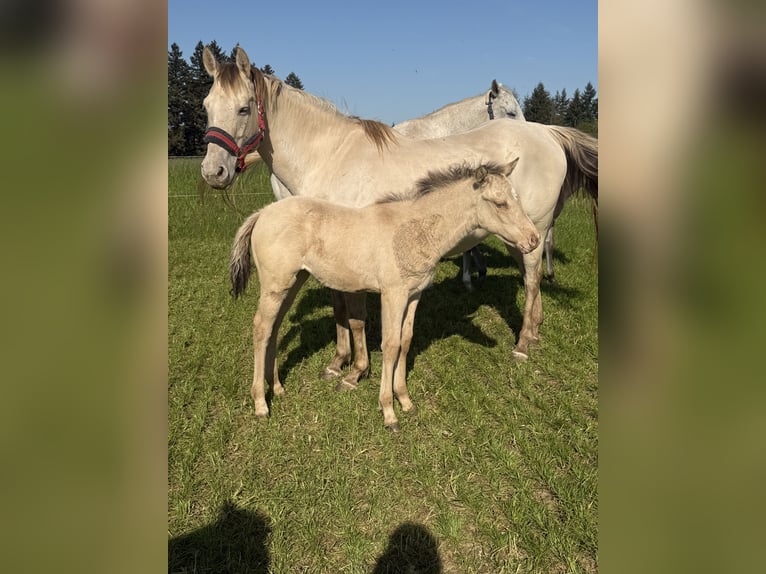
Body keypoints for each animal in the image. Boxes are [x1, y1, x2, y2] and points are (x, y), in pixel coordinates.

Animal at [202, 46, 596, 384]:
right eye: (206, 106)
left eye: (244, 108)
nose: (213, 171)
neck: (330, 157)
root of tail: (546, 134)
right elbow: (340, 309)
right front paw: (338, 362)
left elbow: (355, 316)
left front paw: (357, 370)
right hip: (518, 235)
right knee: (531, 279)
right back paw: (535, 332)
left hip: (533, 231)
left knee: (531, 279)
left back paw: (523, 344)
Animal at [229, 160, 540, 430]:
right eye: (500, 203)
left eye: (517, 198)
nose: (533, 239)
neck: (415, 230)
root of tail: (262, 213)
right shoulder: (392, 294)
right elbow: (390, 345)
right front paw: (389, 411)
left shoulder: (414, 295)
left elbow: (405, 341)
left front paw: (405, 400)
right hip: (275, 284)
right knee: (261, 328)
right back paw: (260, 403)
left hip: (292, 282)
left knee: (273, 327)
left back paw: (278, 388)